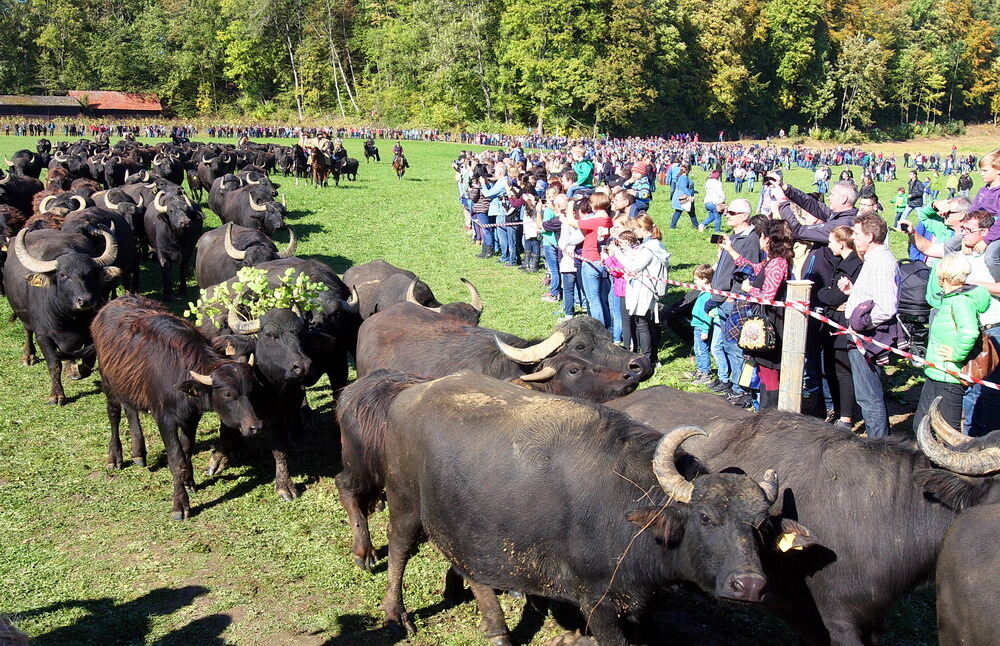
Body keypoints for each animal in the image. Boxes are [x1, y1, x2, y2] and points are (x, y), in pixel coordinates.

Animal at [3, 228, 119, 404]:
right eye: (63, 275)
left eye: (90, 273)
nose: (85, 300)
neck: (68, 319)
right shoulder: (43, 337)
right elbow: (54, 364)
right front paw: (56, 395)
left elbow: (88, 360)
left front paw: (77, 370)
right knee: (27, 330)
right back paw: (29, 356)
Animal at [92, 296, 262, 524]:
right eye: (227, 394)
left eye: (251, 389)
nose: (254, 426)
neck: (179, 373)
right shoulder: (164, 419)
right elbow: (176, 458)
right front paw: (180, 505)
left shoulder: (191, 418)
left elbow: (187, 450)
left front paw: (190, 482)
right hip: (108, 382)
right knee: (114, 414)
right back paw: (114, 457)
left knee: (131, 410)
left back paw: (138, 453)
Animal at [336, 374, 812, 646]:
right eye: (706, 518)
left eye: (758, 527)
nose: (749, 585)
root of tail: (410, 391)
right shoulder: (599, 602)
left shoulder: (641, 604)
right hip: (404, 500)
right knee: (399, 550)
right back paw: (395, 613)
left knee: (473, 569)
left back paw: (490, 622)